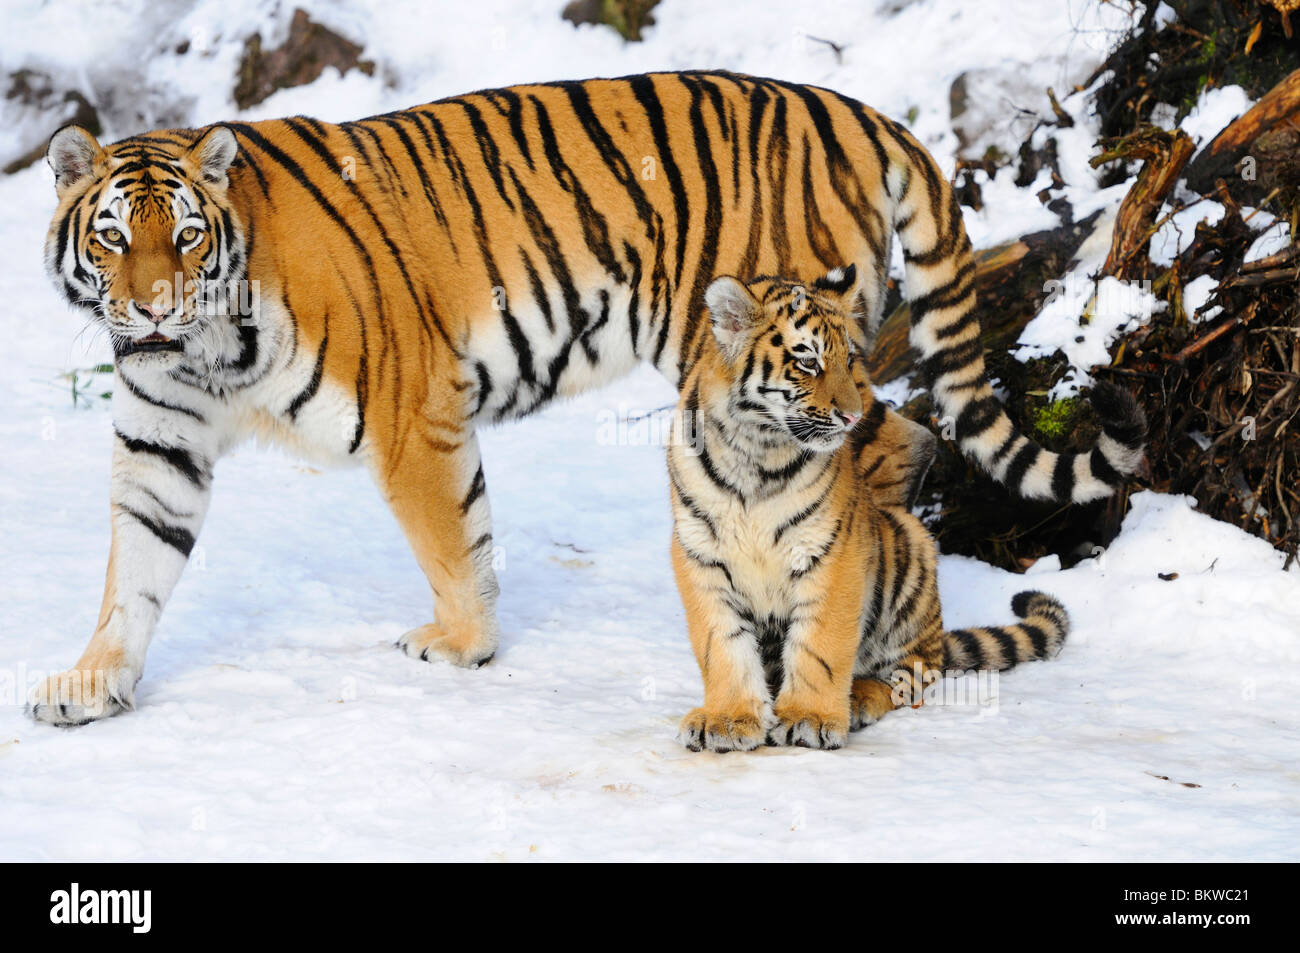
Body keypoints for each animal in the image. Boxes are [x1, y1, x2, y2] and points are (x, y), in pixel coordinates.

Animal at [32, 72, 1138, 722]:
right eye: (112, 236)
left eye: (185, 236)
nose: (152, 307)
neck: (204, 350)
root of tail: (861, 111)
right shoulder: (162, 441)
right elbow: (135, 568)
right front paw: (93, 681)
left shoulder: (412, 407)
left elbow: (452, 539)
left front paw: (462, 646)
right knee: (904, 434)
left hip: (767, 362)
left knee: (866, 468)